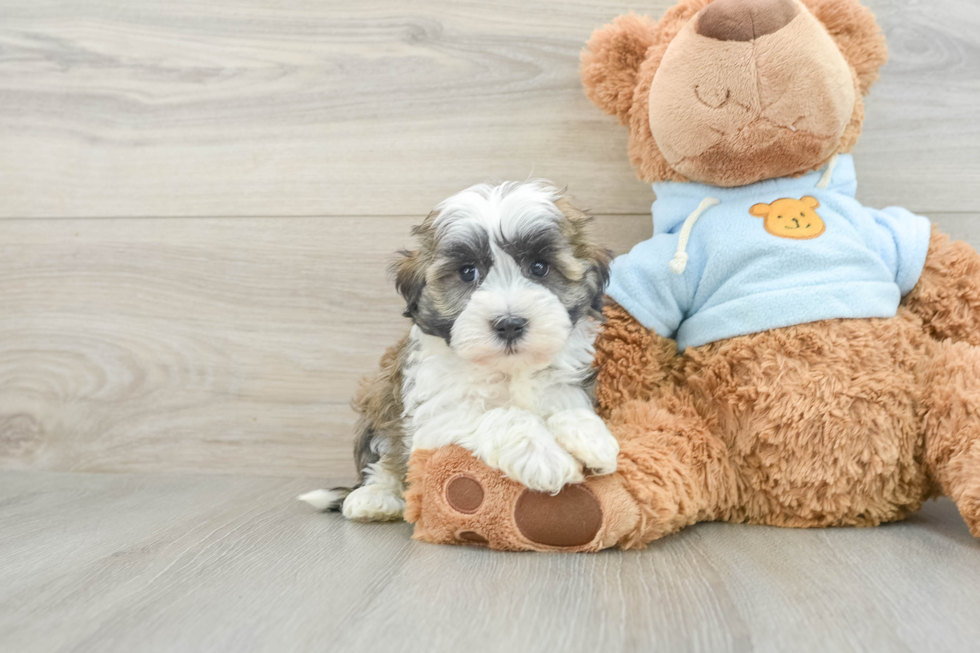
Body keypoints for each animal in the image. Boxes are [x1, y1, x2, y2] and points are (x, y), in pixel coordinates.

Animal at [300, 181, 620, 524]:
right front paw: (542, 455)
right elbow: (497, 416)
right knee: (382, 459)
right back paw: (374, 498)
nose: (509, 324)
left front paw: (591, 438)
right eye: (468, 272)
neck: (508, 369)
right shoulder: (433, 423)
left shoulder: (566, 385)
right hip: (378, 404)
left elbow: (568, 407)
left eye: (539, 267)